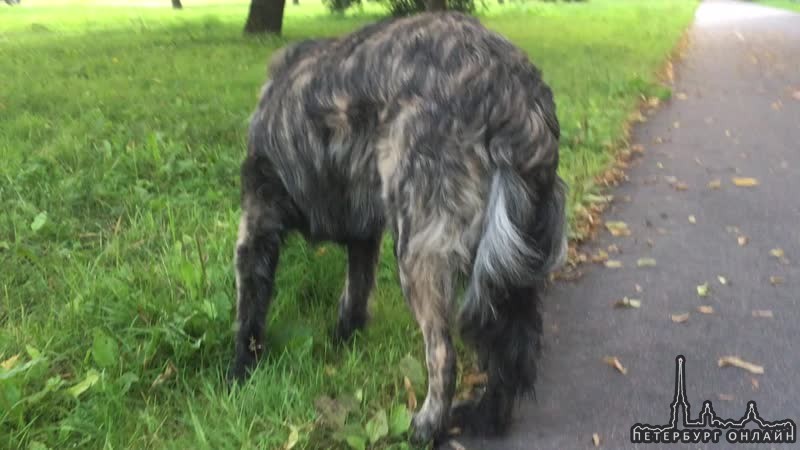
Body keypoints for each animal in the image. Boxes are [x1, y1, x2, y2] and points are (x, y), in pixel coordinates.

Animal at [231, 10, 568, 442]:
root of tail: (514, 89)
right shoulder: (363, 237)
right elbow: (355, 295)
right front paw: (344, 340)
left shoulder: (258, 223)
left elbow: (250, 309)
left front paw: (239, 372)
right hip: (514, 261)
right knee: (513, 345)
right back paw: (487, 416)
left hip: (417, 251)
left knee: (443, 353)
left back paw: (427, 425)